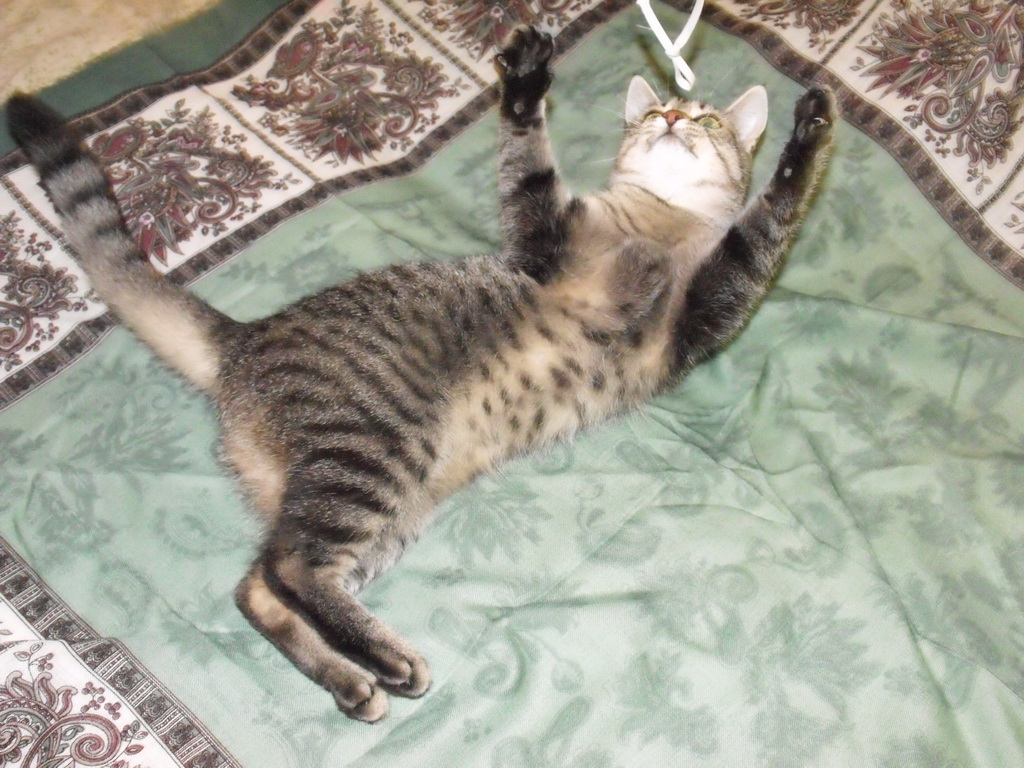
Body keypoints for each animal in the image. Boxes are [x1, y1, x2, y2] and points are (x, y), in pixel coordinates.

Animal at [6, 26, 835, 722]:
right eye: (656, 111)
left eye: (705, 122)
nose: (669, 119)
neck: (659, 222)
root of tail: (244, 340)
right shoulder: (549, 240)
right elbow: (533, 160)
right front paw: (526, 85)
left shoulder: (703, 313)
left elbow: (762, 223)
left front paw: (805, 139)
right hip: (374, 458)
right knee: (290, 568)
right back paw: (383, 659)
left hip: (381, 505)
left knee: (263, 583)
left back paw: (353, 676)